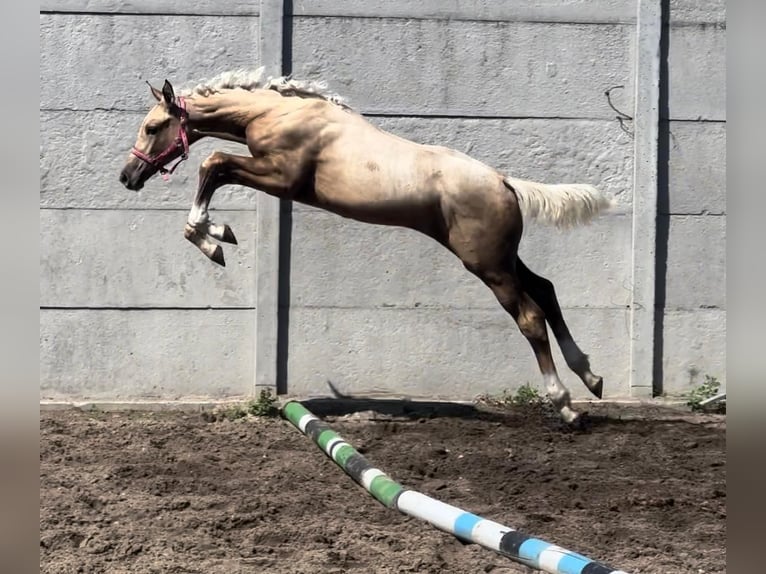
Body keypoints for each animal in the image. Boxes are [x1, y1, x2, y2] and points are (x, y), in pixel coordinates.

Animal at [117, 68, 616, 428]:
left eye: (153, 127)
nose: (128, 176)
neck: (279, 115)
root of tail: (506, 182)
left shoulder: (281, 177)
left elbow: (214, 163)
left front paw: (213, 237)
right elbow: (215, 167)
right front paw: (218, 235)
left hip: (488, 264)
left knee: (530, 316)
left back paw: (567, 407)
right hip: (501, 258)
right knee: (546, 290)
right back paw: (592, 377)